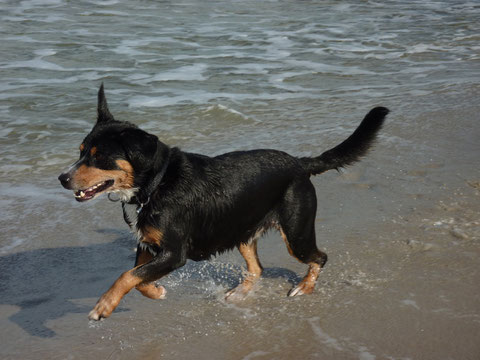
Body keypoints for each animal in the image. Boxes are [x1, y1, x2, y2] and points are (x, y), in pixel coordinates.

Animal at [59, 85, 390, 320]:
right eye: (80, 151)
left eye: (99, 157)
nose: (62, 178)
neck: (156, 184)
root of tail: (299, 163)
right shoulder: (148, 245)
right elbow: (138, 279)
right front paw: (157, 291)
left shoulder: (174, 253)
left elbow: (127, 276)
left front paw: (104, 306)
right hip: (242, 229)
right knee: (257, 268)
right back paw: (240, 293)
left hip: (296, 232)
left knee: (319, 257)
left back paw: (303, 288)